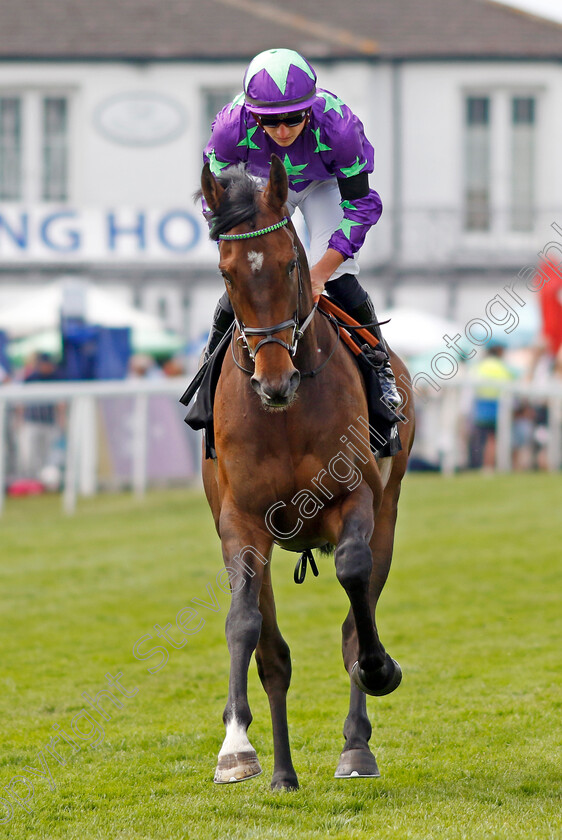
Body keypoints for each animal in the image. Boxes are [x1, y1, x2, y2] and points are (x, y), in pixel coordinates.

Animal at [199, 153, 414, 788]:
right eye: (226, 274)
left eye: (291, 263)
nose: (276, 382)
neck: (285, 418)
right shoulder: (241, 521)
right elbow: (244, 624)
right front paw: (235, 746)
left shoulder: (356, 498)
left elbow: (353, 577)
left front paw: (380, 670)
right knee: (274, 655)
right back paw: (283, 773)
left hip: (390, 508)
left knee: (355, 616)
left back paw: (356, 746)